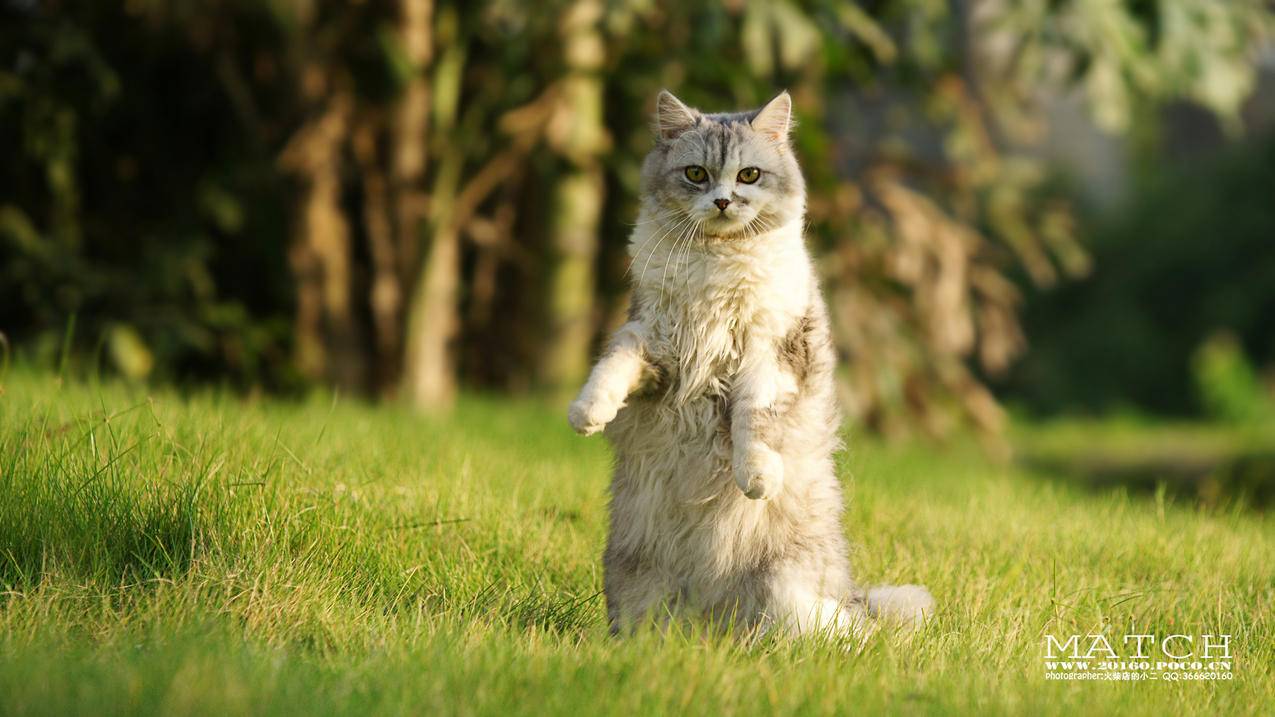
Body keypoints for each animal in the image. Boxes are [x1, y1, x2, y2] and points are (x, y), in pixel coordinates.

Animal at [573, 89, 933, 635]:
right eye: (696, 174)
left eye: (749, 176)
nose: (724, 201)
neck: (716, 262)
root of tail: (715, 621)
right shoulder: (653, 343)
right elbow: (611, 367)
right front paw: (588, 415)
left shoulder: (769, 356)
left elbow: (753, 424)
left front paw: (757, 479)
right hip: (637, 583)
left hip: (790, 595)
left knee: (844, 632)